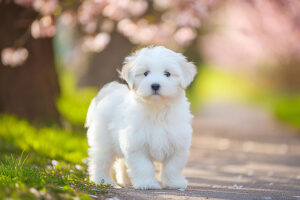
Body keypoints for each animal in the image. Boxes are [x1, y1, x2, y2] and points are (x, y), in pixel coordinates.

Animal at [85, 46, 197, 190]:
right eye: (145, 73)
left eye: (167, 74)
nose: (155, 85)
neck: (157, 109)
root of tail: (109, 92)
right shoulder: (136, 145)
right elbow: (144, 166)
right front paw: (147, 183)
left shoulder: (178, 144)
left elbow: (173, 167)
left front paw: (174, 183)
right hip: (103, 141)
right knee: (100, 161)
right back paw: (102, 180)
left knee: (122, 163)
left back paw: (126, 181)